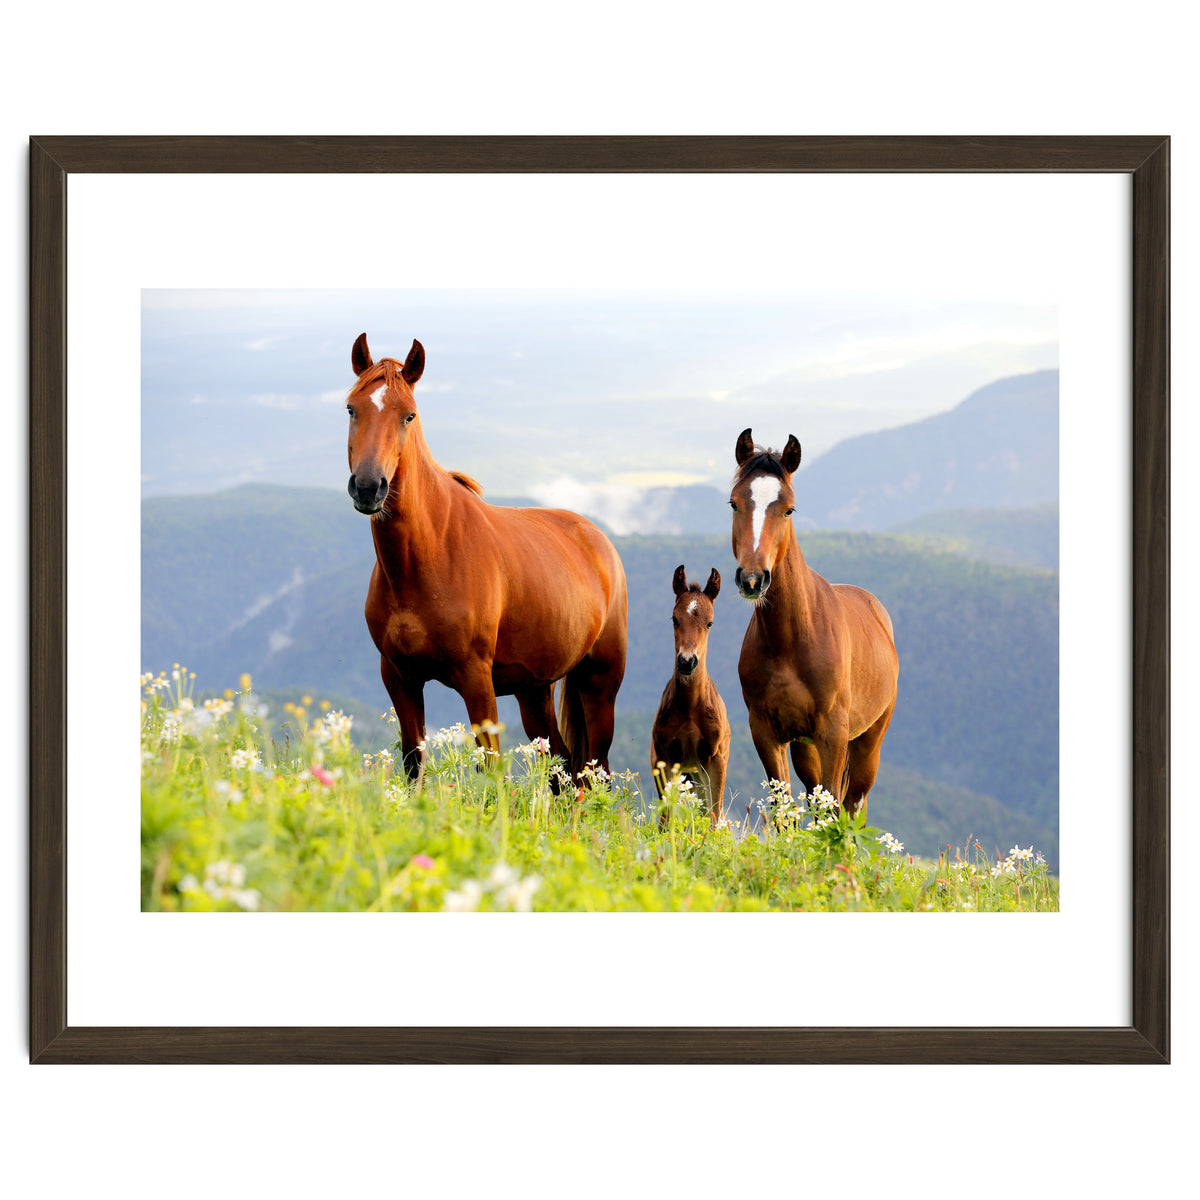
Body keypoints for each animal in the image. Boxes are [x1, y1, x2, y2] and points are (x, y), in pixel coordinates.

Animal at [344, 333, 628, 781]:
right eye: (352, 408)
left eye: (408, 416)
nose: (370, 486)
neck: (426, 558)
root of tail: (599, 541)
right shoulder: (399, 677)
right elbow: (413, 762)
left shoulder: (476, 679)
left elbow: (491, 769)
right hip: (534, 691)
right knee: (562, 768)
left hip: (599, 683)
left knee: (593, 772)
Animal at [650, 566, 731, 824]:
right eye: (674, 619)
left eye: (710, 623)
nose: (687, 661)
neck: (690, 707)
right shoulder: (664, 759)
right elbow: (666, 818)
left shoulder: (715, 759)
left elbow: (714, 816)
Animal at [729, 428, 898, 819]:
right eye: (734, 503)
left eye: (789, 508)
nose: (752, 579)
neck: (790, 640)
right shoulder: (767, 733)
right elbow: (784, 809)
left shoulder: (832, 734)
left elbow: (835, 806)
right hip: (804, 747)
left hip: (868, 741)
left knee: (854, 803)